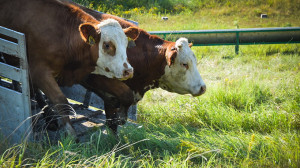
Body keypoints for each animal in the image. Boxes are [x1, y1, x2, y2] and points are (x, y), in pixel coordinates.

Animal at [0, 0, 139, 135]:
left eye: (126, 44)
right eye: (107, 45)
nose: (129, 71)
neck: (63, 37)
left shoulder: (88, 73)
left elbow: (126, 93)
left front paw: (120, 116)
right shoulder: (39, 71)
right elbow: (60, 100)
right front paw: (70, 133)